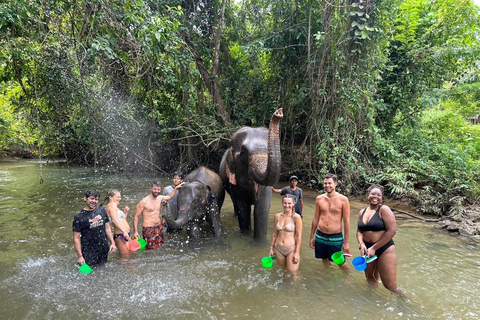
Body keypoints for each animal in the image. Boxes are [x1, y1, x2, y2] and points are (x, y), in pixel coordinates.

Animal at [219, 109, 284, 241]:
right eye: (243, 153)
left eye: (268, 151)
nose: (278, 113)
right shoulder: (235, 180)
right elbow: (243, 208)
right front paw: (247, 236)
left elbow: (262, 208)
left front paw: (259, 242)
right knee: (235, 203)